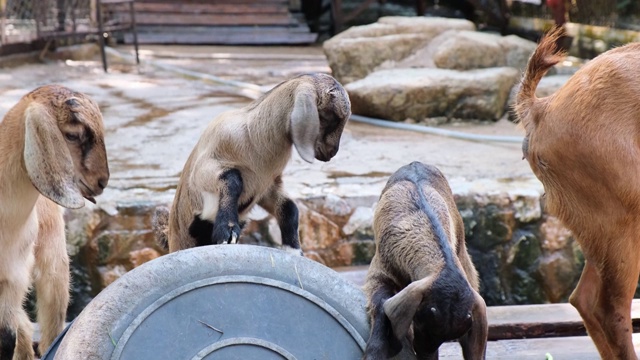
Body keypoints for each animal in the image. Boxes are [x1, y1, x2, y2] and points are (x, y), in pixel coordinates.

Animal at [156, 72, 352, 253]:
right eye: (329, 116)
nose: (332, 152)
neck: (253, 136)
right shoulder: (205, 168)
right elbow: (233, 179)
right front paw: (227, 230)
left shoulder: (266, 186)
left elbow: (289, 208)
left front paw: (293, 250)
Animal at [362, 162, 488, 360]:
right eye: (419, 321)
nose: (425, 354)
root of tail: (416, 163)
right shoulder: (380, 271)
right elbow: (380, 302)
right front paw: (375, 351)